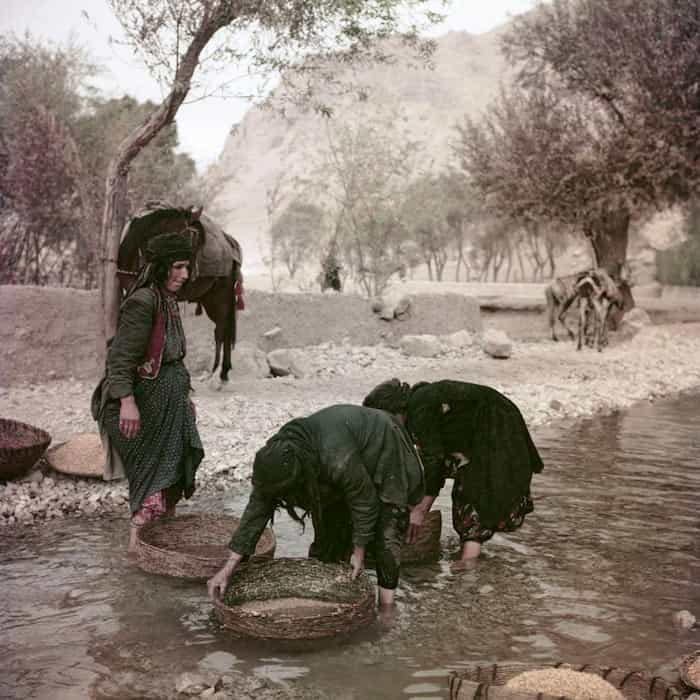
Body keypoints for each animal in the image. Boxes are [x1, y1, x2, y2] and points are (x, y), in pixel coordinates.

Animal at [117, 200, 243, 382]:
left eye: (192, 235)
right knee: (221, 329)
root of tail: (229, 244)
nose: (188, 270)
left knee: (221, 329)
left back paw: (220, 374)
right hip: (209, 298)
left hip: (220, 296)